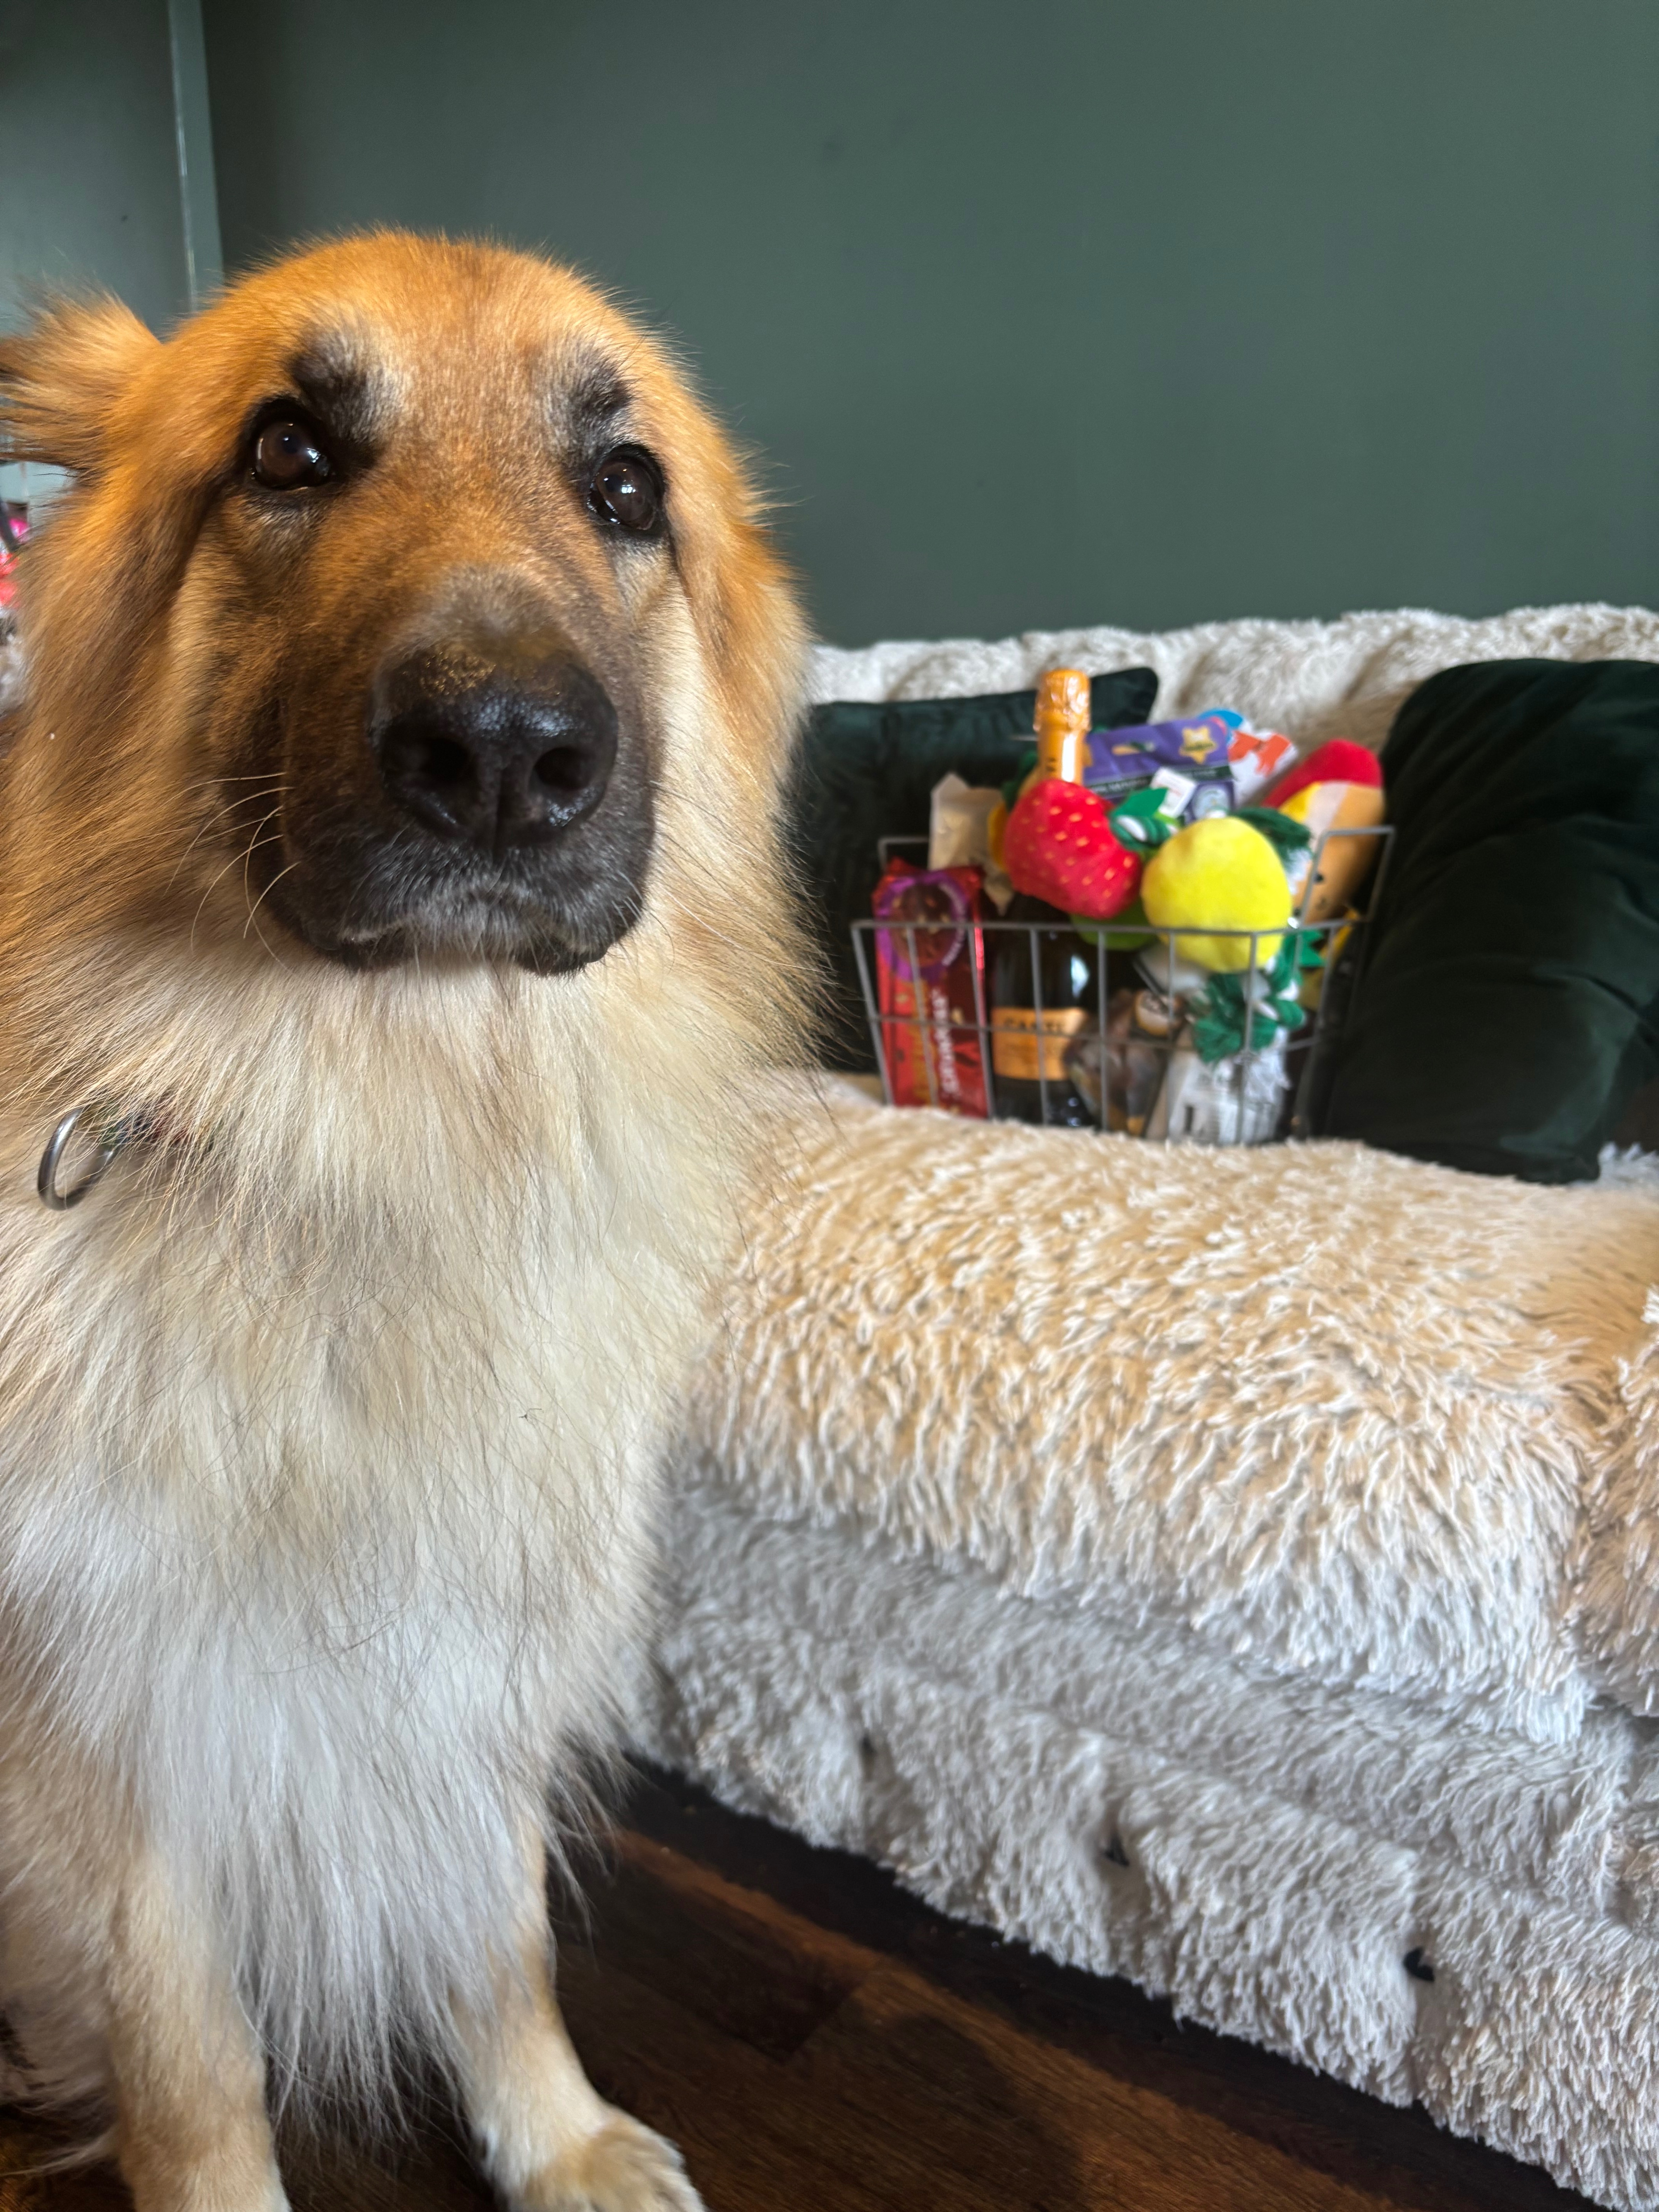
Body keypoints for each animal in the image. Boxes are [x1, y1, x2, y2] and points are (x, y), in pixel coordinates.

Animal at [0, 232, 806, 2210]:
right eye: (286, 451)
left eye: (626, 490)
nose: (507, 753)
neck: (376, 1142)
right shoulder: (116, 1745)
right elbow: (191, 2064)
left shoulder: (477, 1657)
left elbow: (495, 1938)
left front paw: (554, 2138)